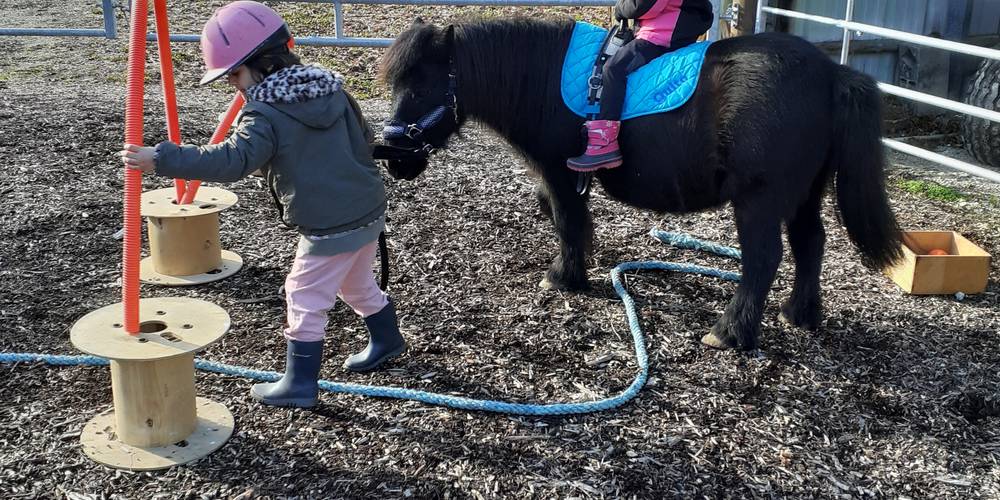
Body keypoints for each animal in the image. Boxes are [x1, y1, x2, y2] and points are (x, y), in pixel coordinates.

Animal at [377, 17, 902, 352]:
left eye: (421, 86)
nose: (395, 158)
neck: (541, 76)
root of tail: (832, 72)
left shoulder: (559, 170)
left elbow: (566, 220)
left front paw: (564, 276)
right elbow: (563, 213)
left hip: (760, 198)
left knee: (764, 258)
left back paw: (730, 332)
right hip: (804, 193)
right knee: (812, 242)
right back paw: (800, 313)